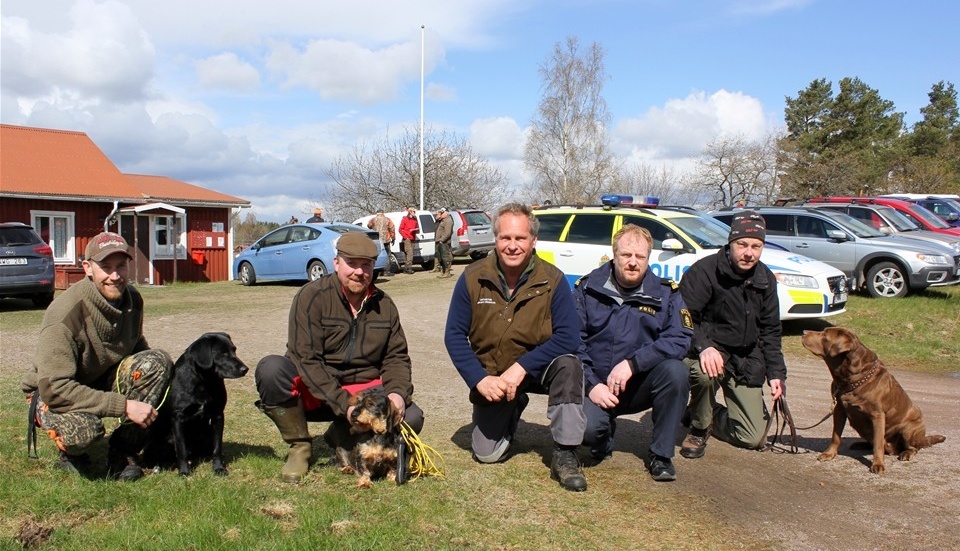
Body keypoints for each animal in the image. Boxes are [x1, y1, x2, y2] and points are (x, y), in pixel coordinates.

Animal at [143, 334, 249, 476]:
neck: (203, 382)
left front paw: (219, 468)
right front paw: (184, 471)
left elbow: (217, 448)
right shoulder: (178, 418)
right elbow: (181, 449)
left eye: (234, 350)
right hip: (156, 443)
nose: (245, 369)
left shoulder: (218, 415)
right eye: (223, 353)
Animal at [804, 328, 944, 474]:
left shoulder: (877, 415)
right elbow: (835, 435)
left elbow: (878, 443)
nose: (804, 332)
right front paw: (829, 453)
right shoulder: (839, 409)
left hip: (910, 429)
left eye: (824, 335)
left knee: (913, 447)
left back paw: (906, 453)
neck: (849, 379)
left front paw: (878, 464)